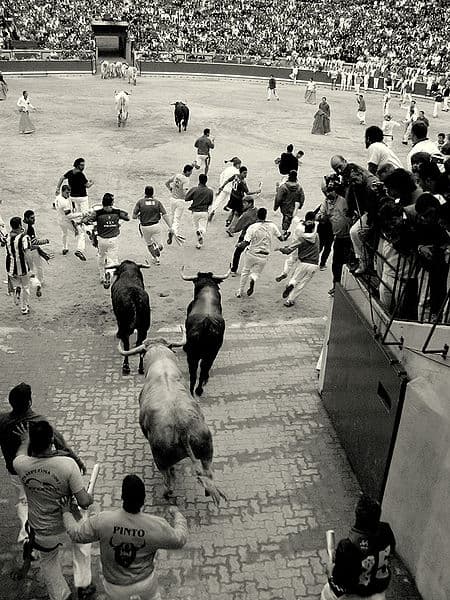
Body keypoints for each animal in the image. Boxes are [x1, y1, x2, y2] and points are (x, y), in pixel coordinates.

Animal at [118, 336, 227, 504]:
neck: (161, 363)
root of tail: (183, 428)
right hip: (207, 451)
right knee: (208, 474)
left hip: (160, 460)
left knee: (168, 481)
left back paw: (166, 494)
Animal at [180, 264, 230, 396]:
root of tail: (206, 324)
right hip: (211, 353)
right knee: (204, 369)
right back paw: (199, 389)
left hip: (194, 356)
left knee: (195, 373)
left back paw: (194, 391)